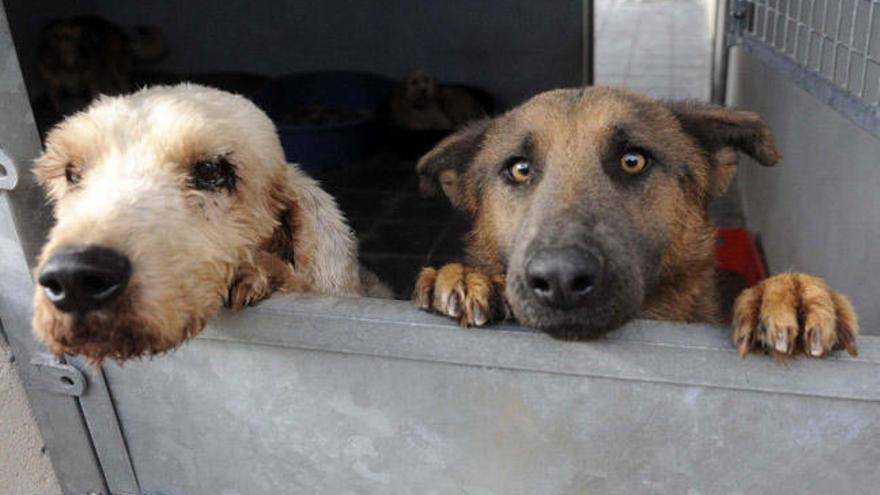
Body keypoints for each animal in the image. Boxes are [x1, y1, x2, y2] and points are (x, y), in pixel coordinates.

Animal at [37, 15, 166, 114]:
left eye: (83, 35)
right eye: (67, 38)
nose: (85, 51)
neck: (68, 67)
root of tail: (120, 32)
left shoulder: (91, 81)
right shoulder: (53, 85)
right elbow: (56, 103)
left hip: (116, 69)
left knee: (124, 86)